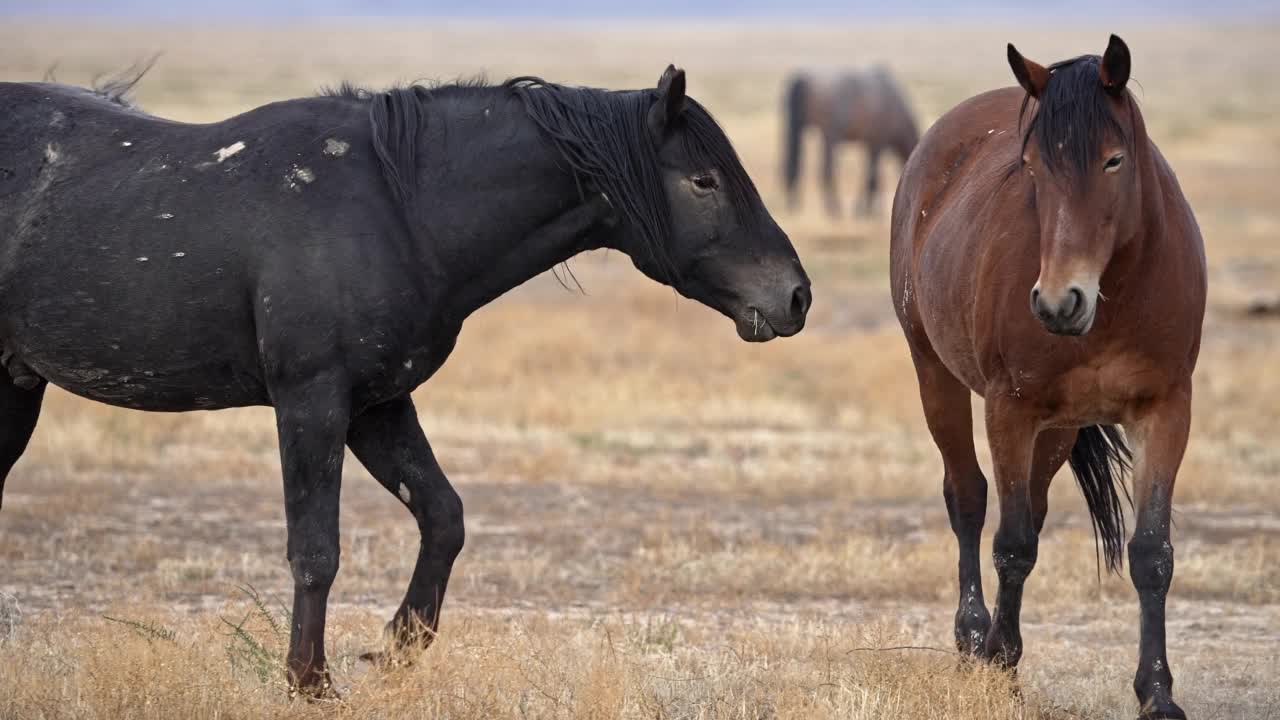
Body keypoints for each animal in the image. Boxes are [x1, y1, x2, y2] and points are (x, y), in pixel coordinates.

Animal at [0, 67, 808, 691]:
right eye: (703, 180)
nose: (796, 296)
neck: (400, 210)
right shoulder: (312, 403)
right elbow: (316, 550)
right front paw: (309, 682)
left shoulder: (378, 406)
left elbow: (443, 517)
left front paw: (394, 650)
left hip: (16, 385)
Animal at [778, 65, 921, 217]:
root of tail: (803, 79)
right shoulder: (877, 143)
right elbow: (872, 176)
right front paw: (866, 210)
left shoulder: (869, 144)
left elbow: (870, 175)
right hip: (830, 137)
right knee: (827, 170)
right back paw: (834, 208)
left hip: (796, 131)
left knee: (792, 165)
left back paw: (794, 204)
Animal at [896, 35, 1203, 717]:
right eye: (1033, 166)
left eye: (1114, 160)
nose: (1060, 302)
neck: (1118, 295)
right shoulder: (1009, 408)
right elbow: (1011, 542)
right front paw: (1001, 666)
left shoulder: (1165, 410)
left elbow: (1152, 554)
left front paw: (1158, 693)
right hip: (936, 378)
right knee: (969, 499)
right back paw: (974, 638)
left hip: (1061, 429)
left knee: (1031, 507)